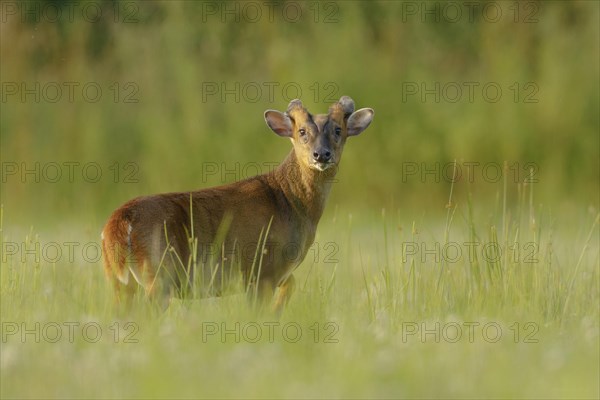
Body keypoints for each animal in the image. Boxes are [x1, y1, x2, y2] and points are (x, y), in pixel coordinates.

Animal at [102, 96, 376, 312]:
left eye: (338, 130)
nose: (321, 154)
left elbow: (292, 284)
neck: (289, 202)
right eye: (302, 132)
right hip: (160, 274)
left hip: (118, 279)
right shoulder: (261, 270)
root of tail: (117, 222)